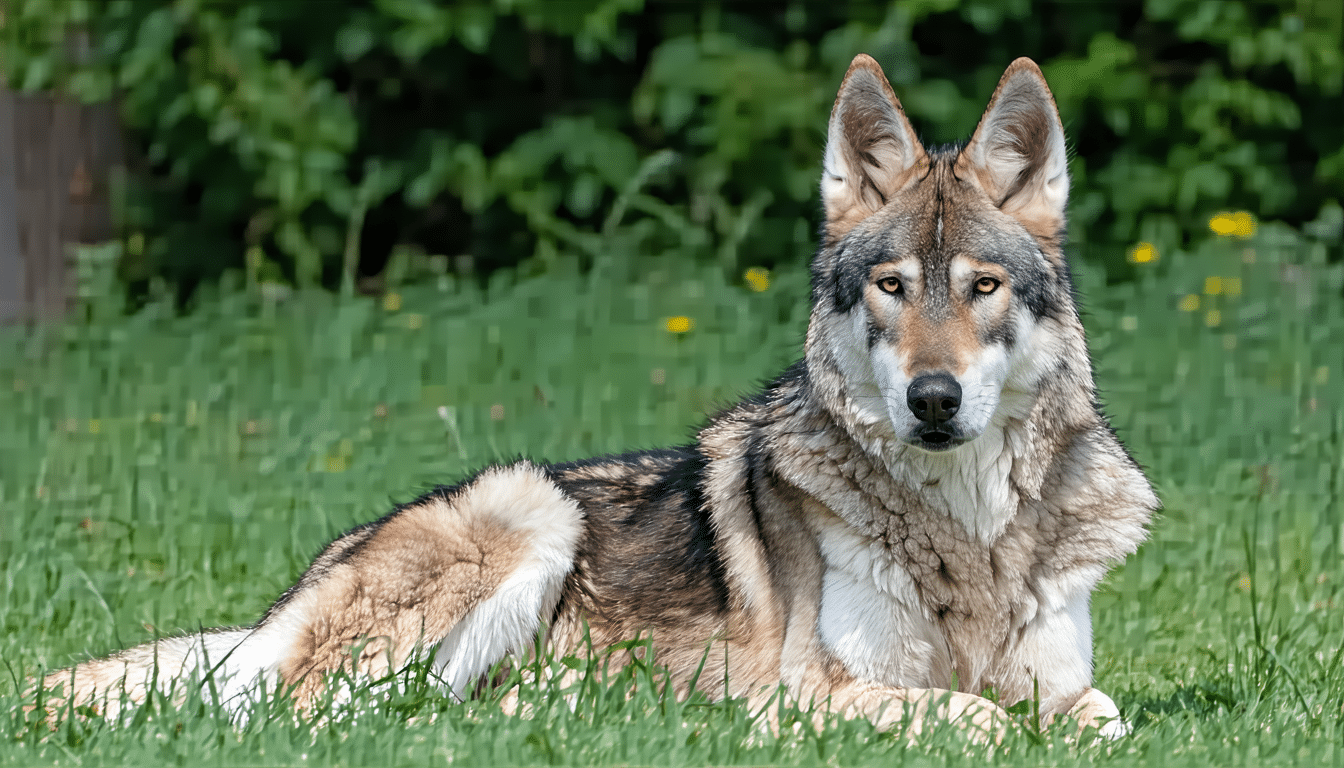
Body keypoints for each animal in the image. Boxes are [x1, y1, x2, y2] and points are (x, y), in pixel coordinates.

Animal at [37, 55, 1157, 739]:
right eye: (891, 287)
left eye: (981, 287)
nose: (933, 399)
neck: (968, 534)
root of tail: (295, 590)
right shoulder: (807, 696)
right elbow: (974, 717)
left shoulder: (1071, 685)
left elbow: (1095, 717)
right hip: (524, 506)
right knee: (321, 714)